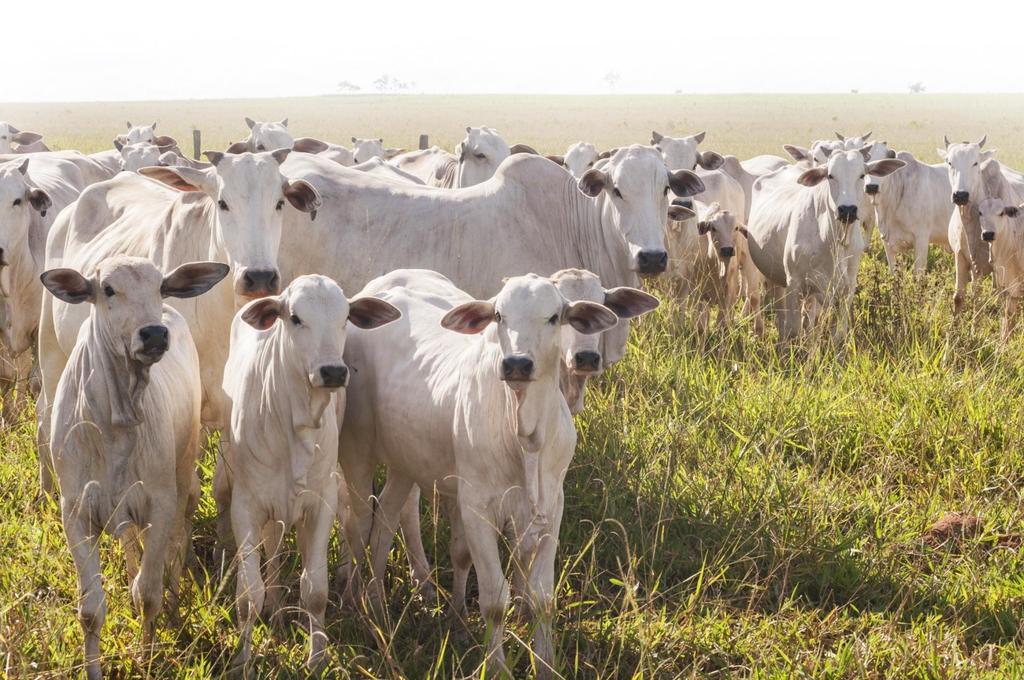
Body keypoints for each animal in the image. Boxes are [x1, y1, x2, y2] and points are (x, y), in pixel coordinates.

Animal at [42, 256, 226, 680]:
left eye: (160, 287)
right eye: (108, 289)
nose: (154, 333)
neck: (115, 422)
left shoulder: (160, 503)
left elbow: (148, 594)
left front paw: (146, 657)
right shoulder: (76, 511)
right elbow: (91, 610)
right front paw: (93, 669)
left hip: (185, 472)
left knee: (178, 535)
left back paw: (173, 592)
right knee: (130, 543)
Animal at [217, 274, 399, 671]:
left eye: (346, 318)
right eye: (296, 318)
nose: (333, 371)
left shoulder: (320, 503)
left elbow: (315, 589)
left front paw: (317, 656)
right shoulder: (246, 506)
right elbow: (248, 596)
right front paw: (242, 661)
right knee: (271, 552)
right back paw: (275, 608)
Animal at [342, 270, 614, 675]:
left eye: (554, 317)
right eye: (499, 315)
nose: (516, 364)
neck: (524, 434)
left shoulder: (552, 507)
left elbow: (542, 598)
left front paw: (545, 664)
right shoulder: (476, 508)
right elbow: (494, 600)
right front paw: (497, 666)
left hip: (405, 460)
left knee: (387, 518)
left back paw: (377, 603)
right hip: (356, 451)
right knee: (360, 524)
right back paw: (357, 602)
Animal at [745, 149, 905, 340]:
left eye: (862, 175)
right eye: (830, 175)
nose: (847, 210)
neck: (833, 240)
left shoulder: (847, 289)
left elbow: (837, 334)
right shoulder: (793, 284)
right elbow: (793, 330)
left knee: (808, 322)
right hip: (774, 279)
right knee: (782, 321)